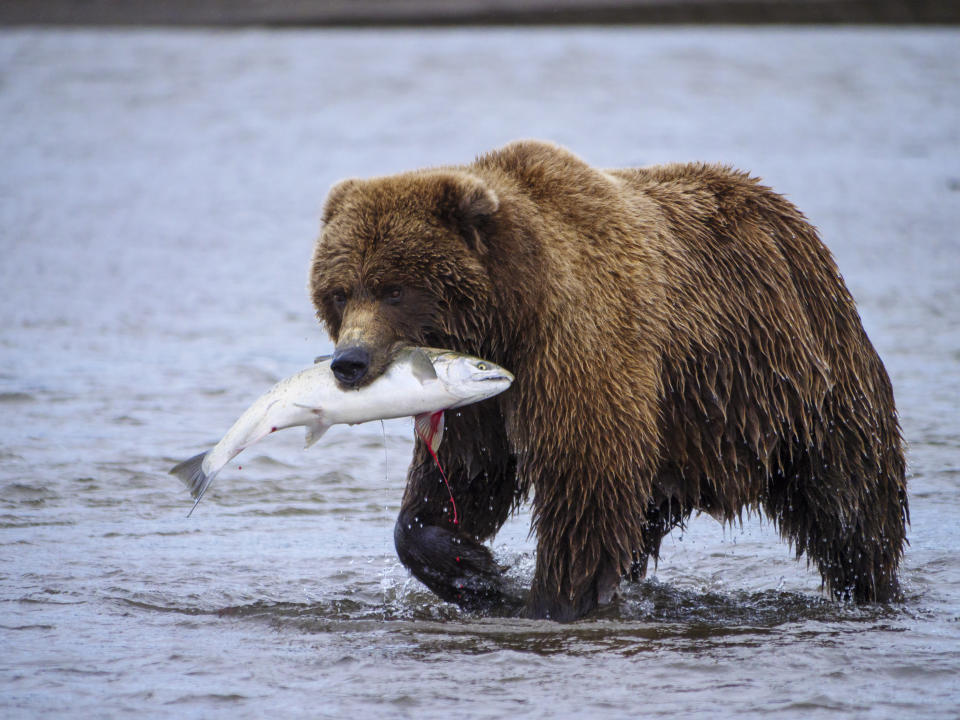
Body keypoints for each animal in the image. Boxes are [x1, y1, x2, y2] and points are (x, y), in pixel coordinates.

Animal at [308, 139, 908, 620]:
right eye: (340, 291)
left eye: (394, 289)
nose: (349, 361)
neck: (511, 312)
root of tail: (787, 214)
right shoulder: (478, 402)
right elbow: (462, 477)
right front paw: (471, 566)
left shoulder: (580, 348)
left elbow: (584, 484)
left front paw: (548, 602)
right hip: (689, 431)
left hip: (803, 380)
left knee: (852, 502)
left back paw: (874, 588)